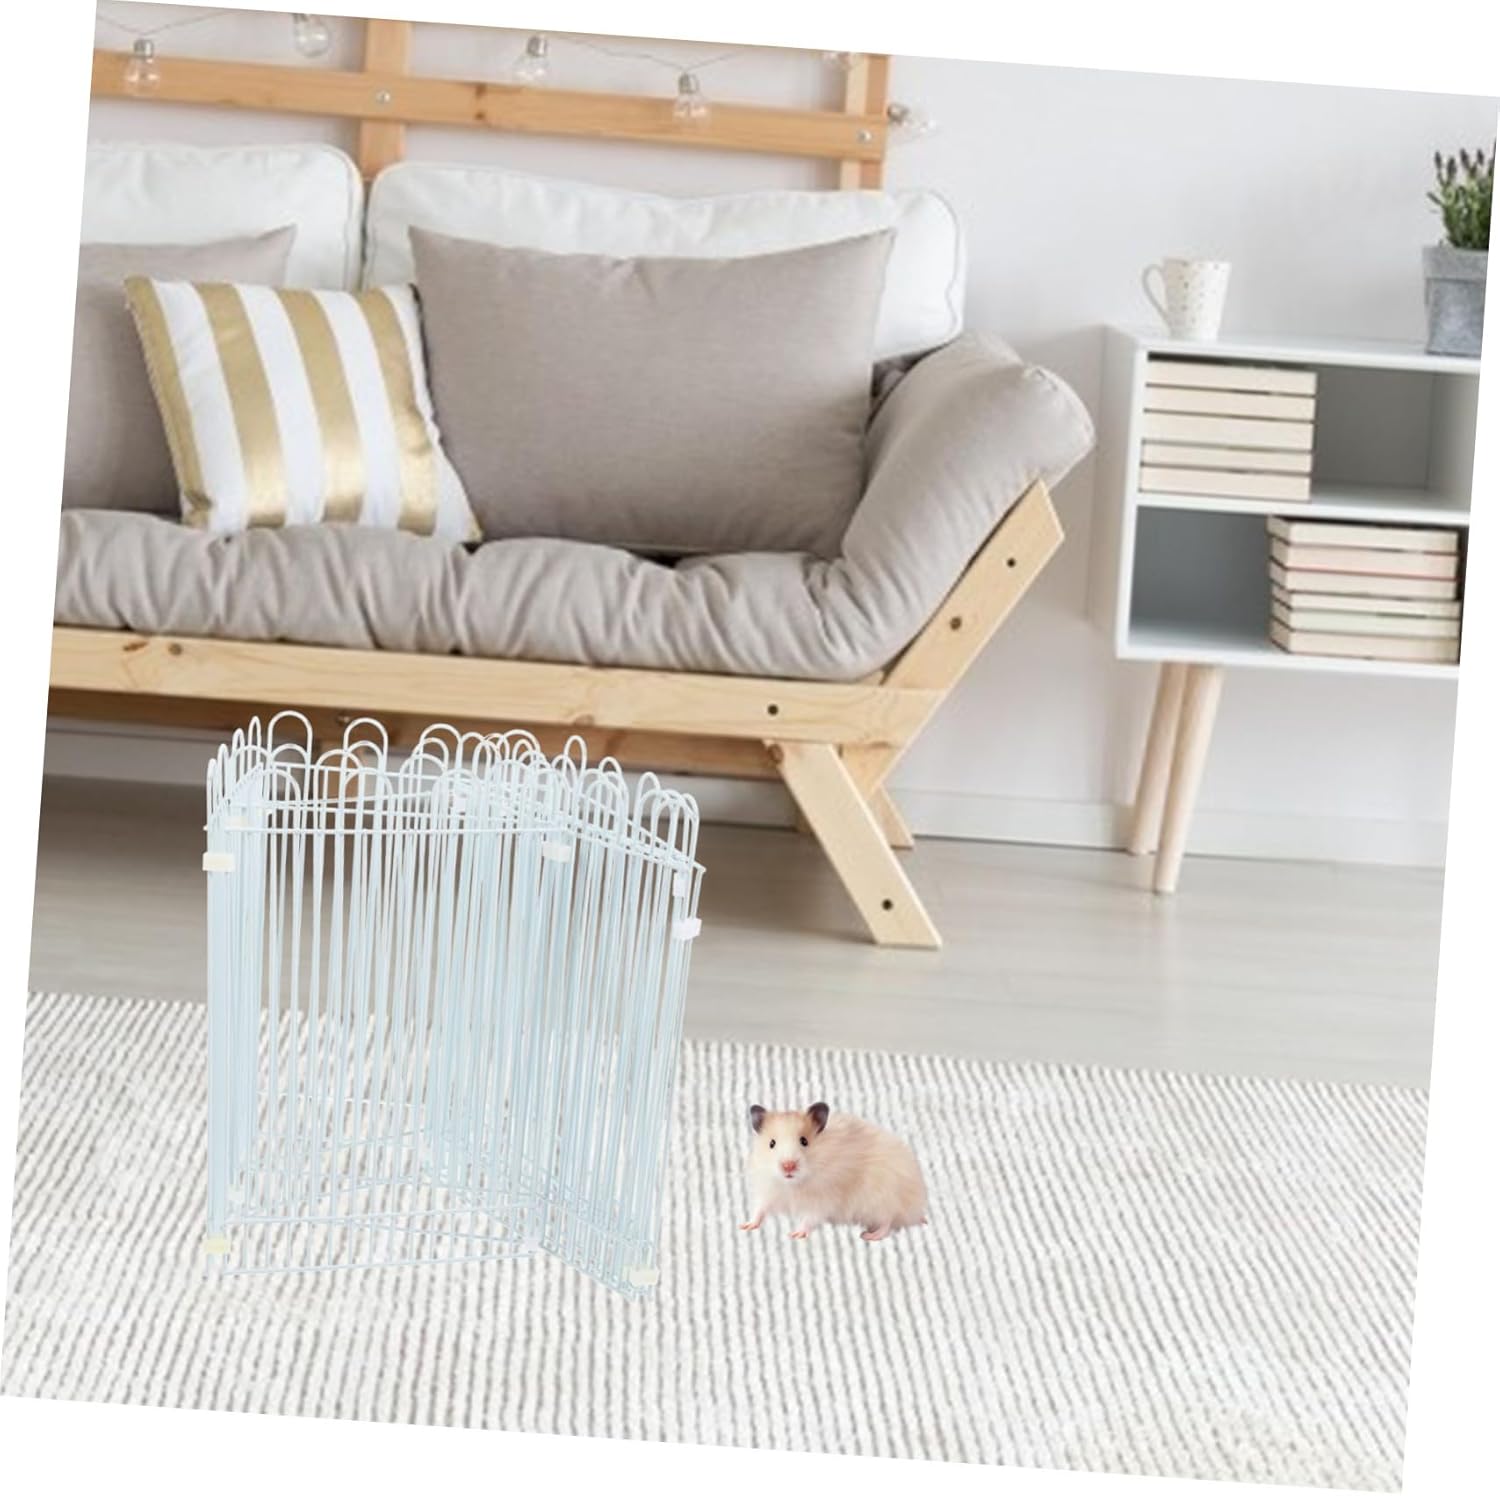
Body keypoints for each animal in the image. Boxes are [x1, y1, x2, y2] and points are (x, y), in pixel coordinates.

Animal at [739, 1101, 928, 1242]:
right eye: (771, 1143)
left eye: (804, 1141)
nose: (788, 1166)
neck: (793, 1184)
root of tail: (917, 1206)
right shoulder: (769, 1190)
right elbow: (760, 1209)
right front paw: (745, 1225)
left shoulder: (822, 1199)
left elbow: (809, 1218)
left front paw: (795, 1234)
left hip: (882, 1199)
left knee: (888, 1220)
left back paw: (869, 1235)